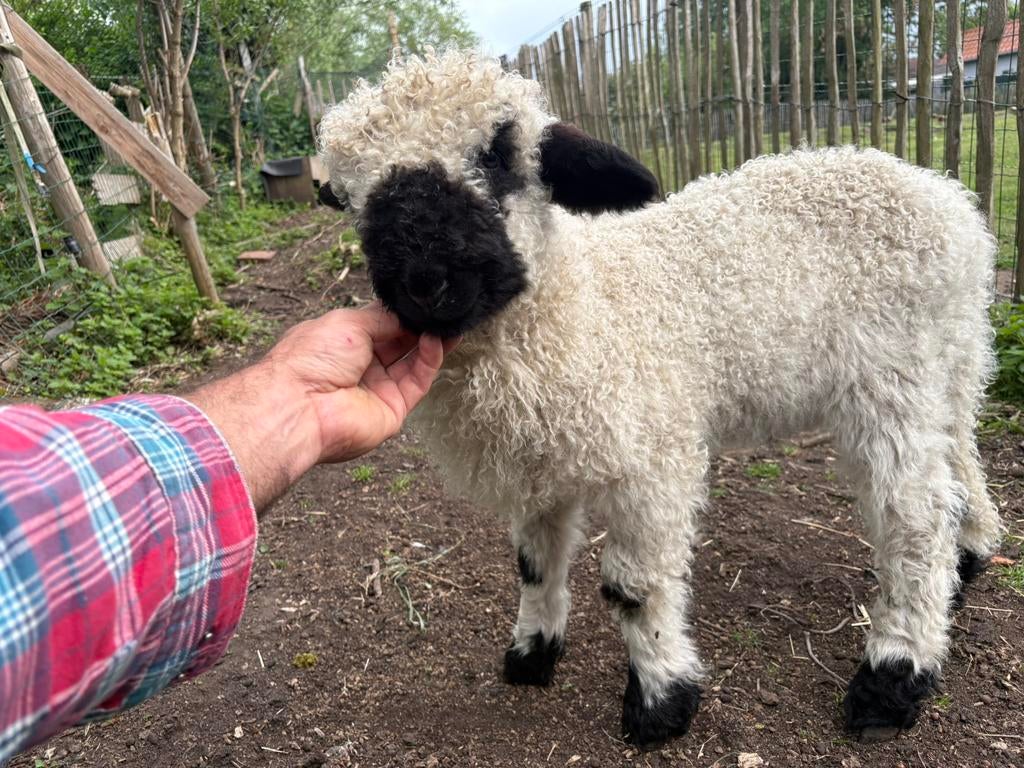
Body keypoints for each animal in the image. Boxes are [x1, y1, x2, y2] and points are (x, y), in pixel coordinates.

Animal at [317, 49, 1002, 748]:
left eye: (499, 153)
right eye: (348, 196)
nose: (424, 280)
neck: (583, 303)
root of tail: (947, 199)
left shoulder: (652, 455)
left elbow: (634, 586)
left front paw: (660, 701)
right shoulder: (545, 460)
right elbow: (536, 562)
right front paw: (532, 653)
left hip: (893, 376)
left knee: (915, 519)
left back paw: (893, 677)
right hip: (952, 361)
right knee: (959, 463)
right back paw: (970, 557)